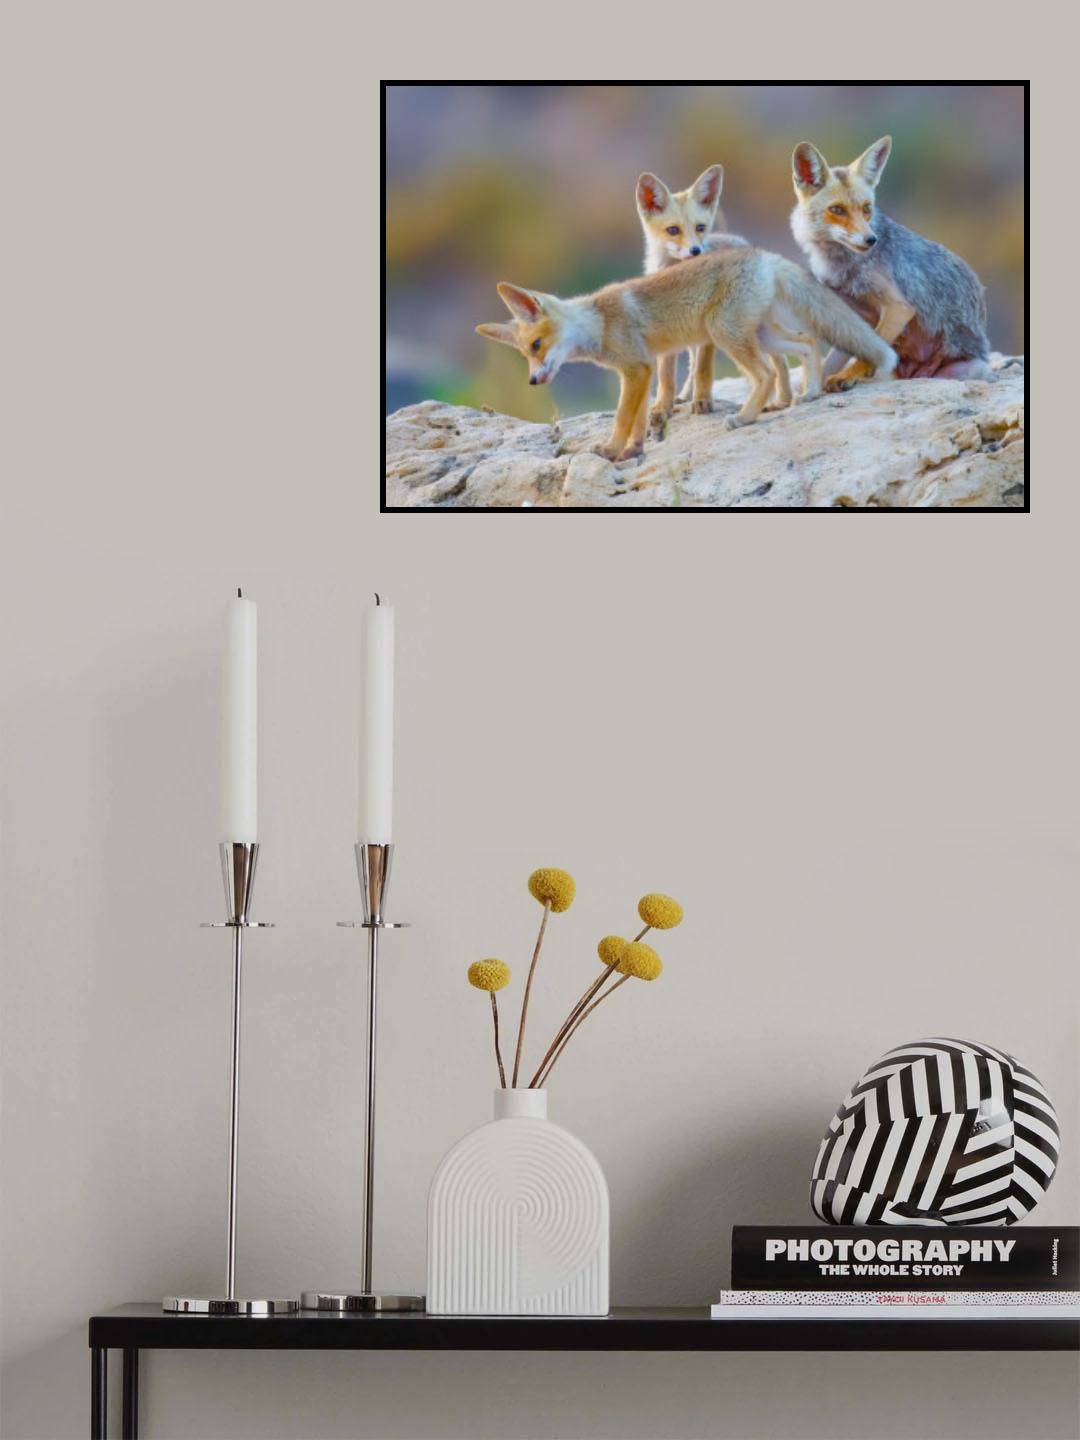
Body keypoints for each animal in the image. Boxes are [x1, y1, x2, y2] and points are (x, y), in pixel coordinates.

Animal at [476, 248, 897, 463]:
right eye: (525, 356)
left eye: (536, 346)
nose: (533, 380)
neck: (598, 323)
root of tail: (761, 254)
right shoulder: (642, 371)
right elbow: (640, 419)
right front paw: (632, 451)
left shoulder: (636, 368)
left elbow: (623, 418)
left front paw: (610, 449)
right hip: (763, 334)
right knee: (807, 343)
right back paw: (808, 393)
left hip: (725, 333)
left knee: (765, 374)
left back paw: (745, 417)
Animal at [636, 166, 820, 420]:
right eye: (672, 230)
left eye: (700, 227)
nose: (696, 250)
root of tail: (741, 242)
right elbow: (666, 374)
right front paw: (663, 407)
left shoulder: (707, 330)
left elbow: (703, 369)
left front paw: (702, 402)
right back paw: (684, 395)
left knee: (779, 360)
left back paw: (781, 400)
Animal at [790, 136, 993, 388]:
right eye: (837, 210)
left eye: (867, 208)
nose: (871, 240)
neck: (838, 265)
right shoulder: (849, 312)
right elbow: (832, 362)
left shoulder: (899, 308)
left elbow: (872, 351)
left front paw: (847, 376)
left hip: (964, 370)